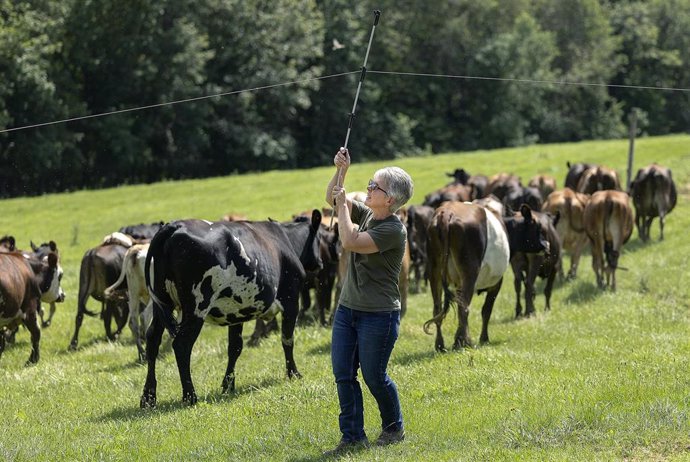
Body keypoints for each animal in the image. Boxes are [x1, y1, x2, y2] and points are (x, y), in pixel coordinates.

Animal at [141, 210, 324, 408]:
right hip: (196, 307)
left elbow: (235, 347)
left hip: (161, 303)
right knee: (182, 345)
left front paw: (228, 385)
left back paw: (148, 398)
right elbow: (287, 340)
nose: (321, 262)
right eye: (319, 238)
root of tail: (173, 226)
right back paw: (190, 396)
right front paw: (293, 373)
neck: (286, 240)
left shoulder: (236, 312)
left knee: (152, 340)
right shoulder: (291, 300)